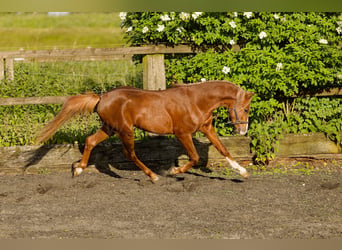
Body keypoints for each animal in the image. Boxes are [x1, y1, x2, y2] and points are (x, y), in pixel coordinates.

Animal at [36, 81, 254, 183]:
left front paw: (243, 172)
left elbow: (223, 149)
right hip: (125, 130)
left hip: (109, 128)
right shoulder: (182, 133)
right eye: (245, 109)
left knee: (90, 141)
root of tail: (101, 97)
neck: (196, 101)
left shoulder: (207, 128)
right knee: (129, 153)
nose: (243, 130)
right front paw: (174, 171)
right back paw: (153, 175)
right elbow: (194, 157)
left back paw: (79, 169)